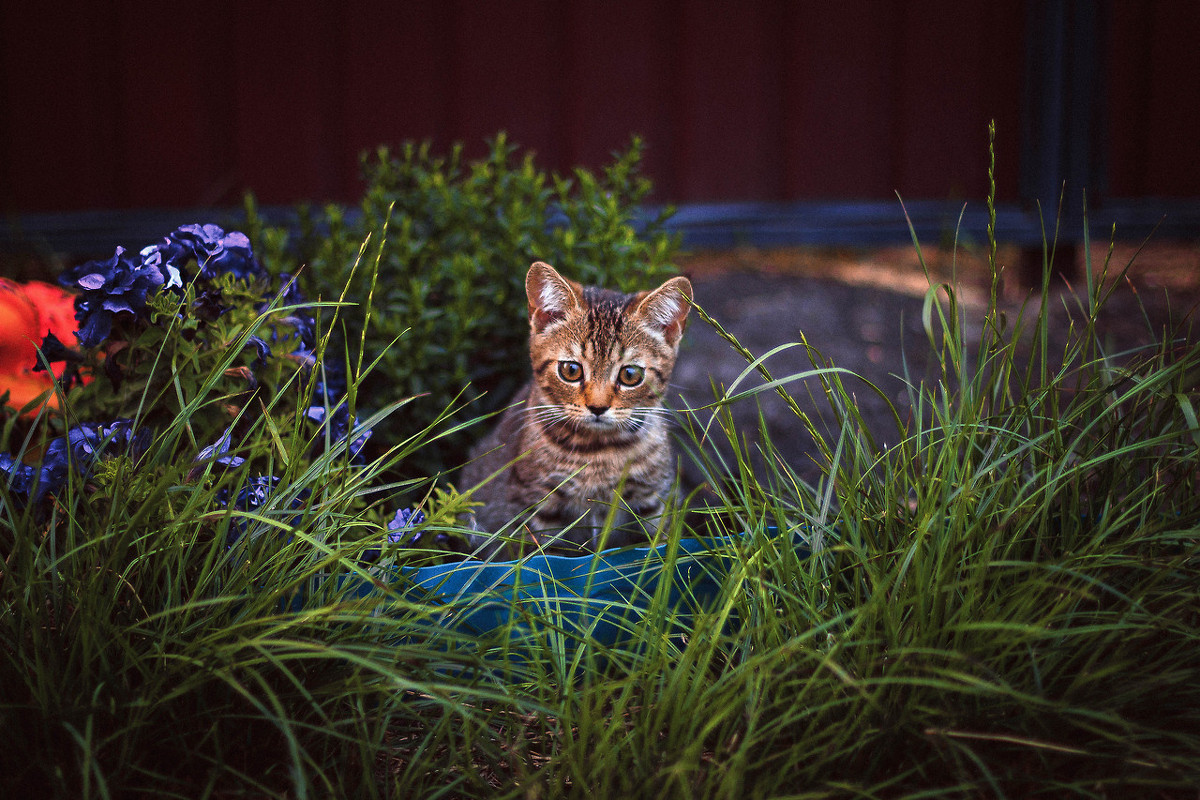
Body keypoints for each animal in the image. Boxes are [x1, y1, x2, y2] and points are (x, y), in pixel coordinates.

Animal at [463, 261, 696, 556]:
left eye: (630, 375)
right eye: (571, 370)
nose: (598, 407)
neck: (599, 452)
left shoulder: (654, 501)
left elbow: (655, 553)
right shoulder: (537, 507)